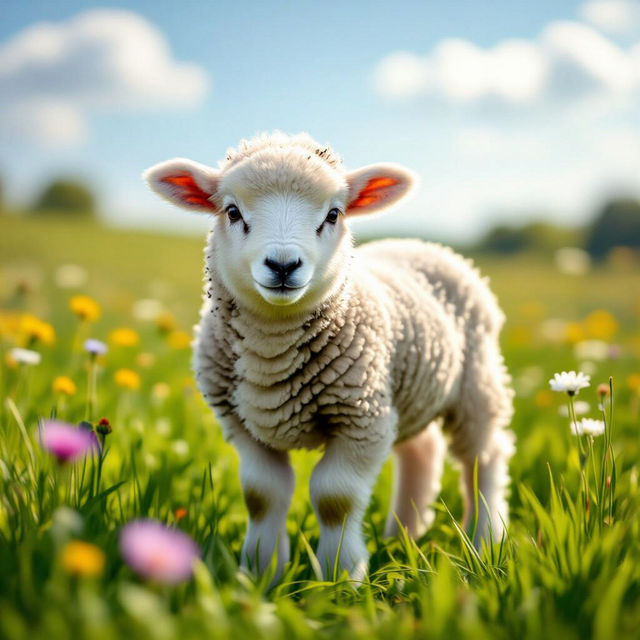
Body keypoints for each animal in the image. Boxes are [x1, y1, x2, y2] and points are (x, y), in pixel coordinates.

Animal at [144, 132, 515, 581]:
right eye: (232, 211)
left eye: (334, 214)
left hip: (477, 383)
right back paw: (402, 538)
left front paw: (340, 579)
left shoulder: (362, 420)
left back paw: (485, 541)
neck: (271, 350)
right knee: (421, 452)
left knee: (484, 457)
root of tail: (420, 243)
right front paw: (261, 573)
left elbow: (335, 498)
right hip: (407, 390)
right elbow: (262, 495)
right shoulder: (241, 425)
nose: (283, 265)